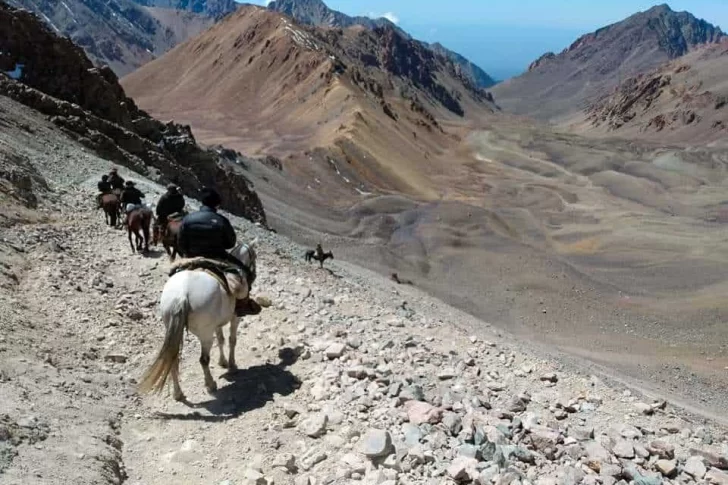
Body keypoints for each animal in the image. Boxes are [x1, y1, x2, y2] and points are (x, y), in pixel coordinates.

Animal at [139, 239, 258, 400]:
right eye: (254, 256)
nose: (254, 274)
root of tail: (181, 294)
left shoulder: (217, 324)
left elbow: (221, 339)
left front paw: (223, 362)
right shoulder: (235, 317)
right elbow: (232, 340)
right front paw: (232, 366)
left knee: (173, 359)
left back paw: (178, 393)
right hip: (205, 335)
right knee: (203, 360)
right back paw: (210, 385)